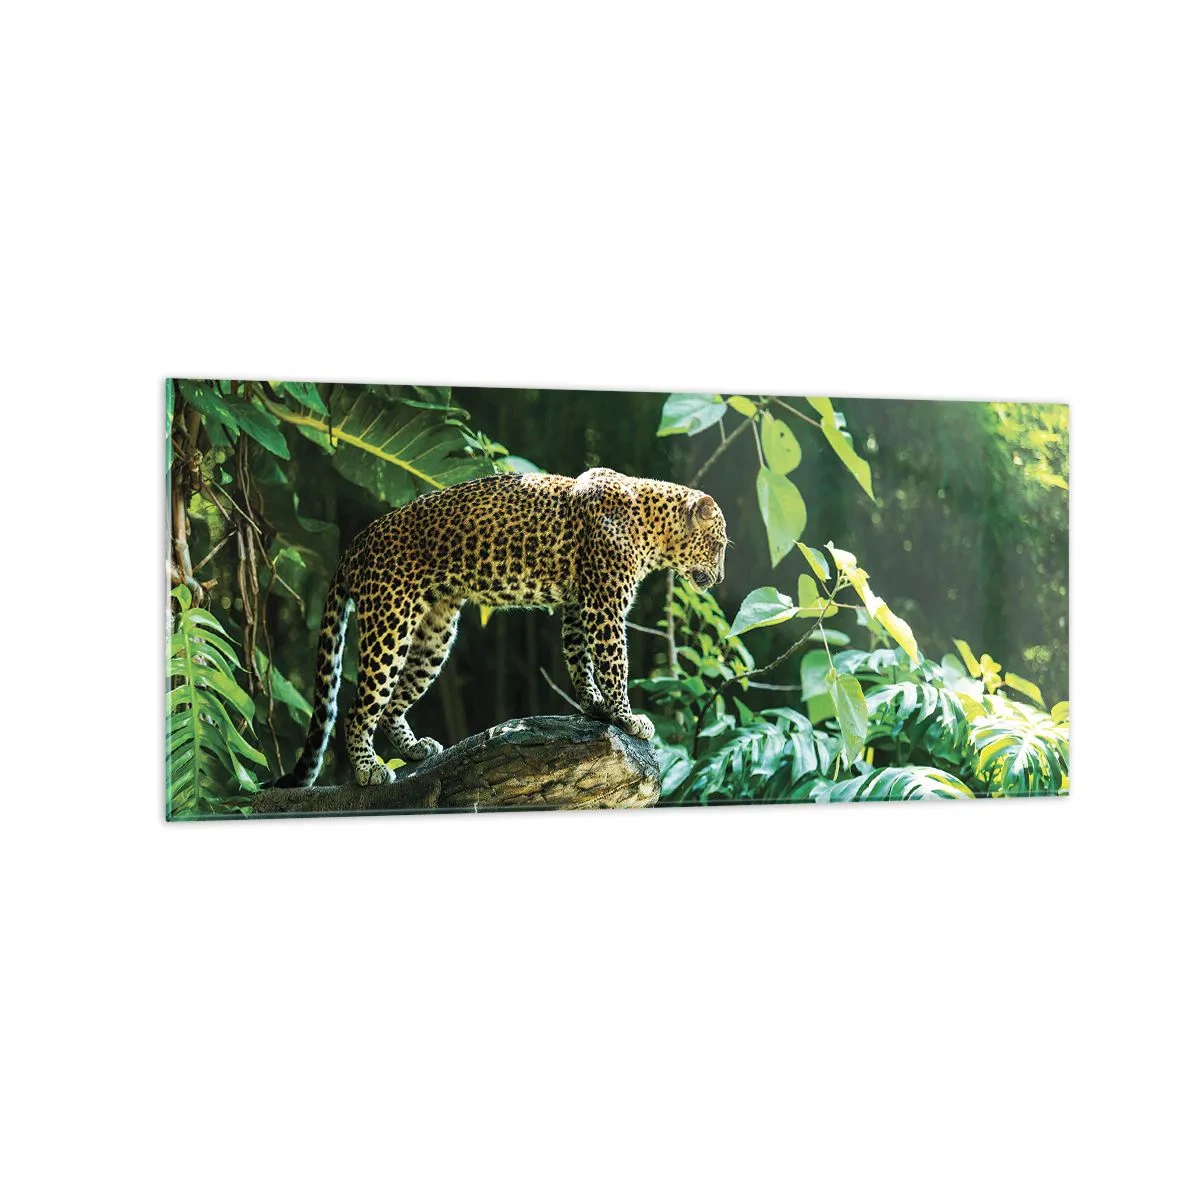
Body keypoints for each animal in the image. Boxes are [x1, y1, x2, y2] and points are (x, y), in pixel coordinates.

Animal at [274, 467, 728, 788]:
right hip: (389, 622)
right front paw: (627, 717)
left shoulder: (578, 605)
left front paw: (595, 706)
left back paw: (415, 749)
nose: (722, 578)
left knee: (391, 704)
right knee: (358, 708)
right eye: (719, 545)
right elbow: (614, 663)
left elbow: (579, 659)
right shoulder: (604, 607)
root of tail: (356, 542)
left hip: (435, 632)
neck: (652, 526)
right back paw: (369, 769)